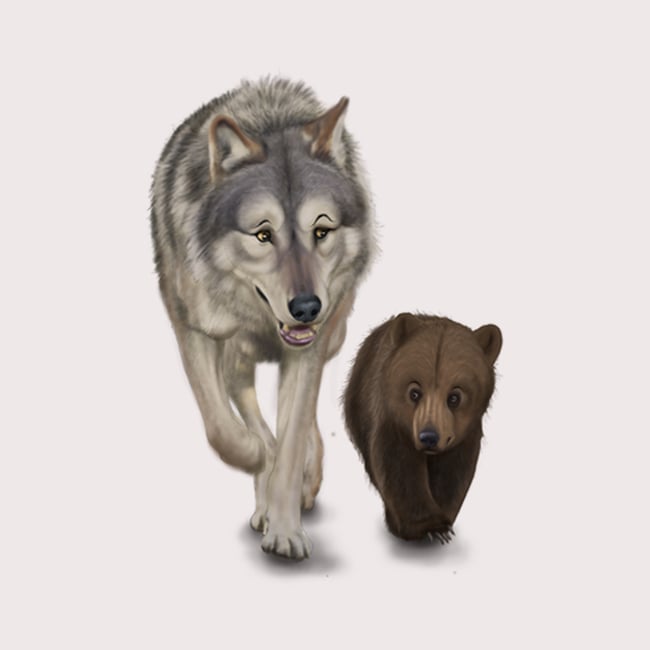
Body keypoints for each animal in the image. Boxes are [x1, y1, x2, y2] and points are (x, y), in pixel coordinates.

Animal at [150, 78, 374, 560]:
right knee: (244, 404)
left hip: (332, 334)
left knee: (305, 421)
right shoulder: (192, 330)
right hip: (234, 357)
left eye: (321, 231)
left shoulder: (308, 348)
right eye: (263, 234)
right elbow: (221, 429)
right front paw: (256, 458)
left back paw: (304, 479)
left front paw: (286, 530)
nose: (307, 307)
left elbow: (291, 442)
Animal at [343, 313, 502, 542]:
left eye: (454, 397)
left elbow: (453, 470)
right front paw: (429, 527)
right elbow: (399, 468)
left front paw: (444, 520)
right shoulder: (392, 422)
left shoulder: (463, 434)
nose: (429, 437)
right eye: (414, 392)